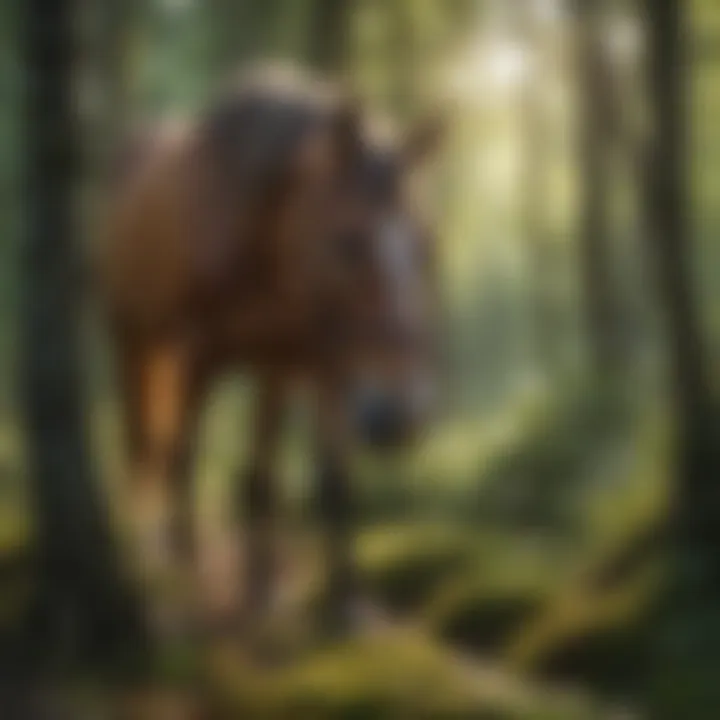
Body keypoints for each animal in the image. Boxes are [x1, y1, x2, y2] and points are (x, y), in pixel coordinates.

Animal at [98, 64, 442, 632]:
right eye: (347, 240)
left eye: (423, 244)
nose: (400, 417)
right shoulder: (200, 355)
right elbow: (185, 458)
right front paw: (189, 576)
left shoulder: (297, 363)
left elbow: (306, 481)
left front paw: (330, 601)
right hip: (134, 341)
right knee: (146, 448)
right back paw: (151, 554)